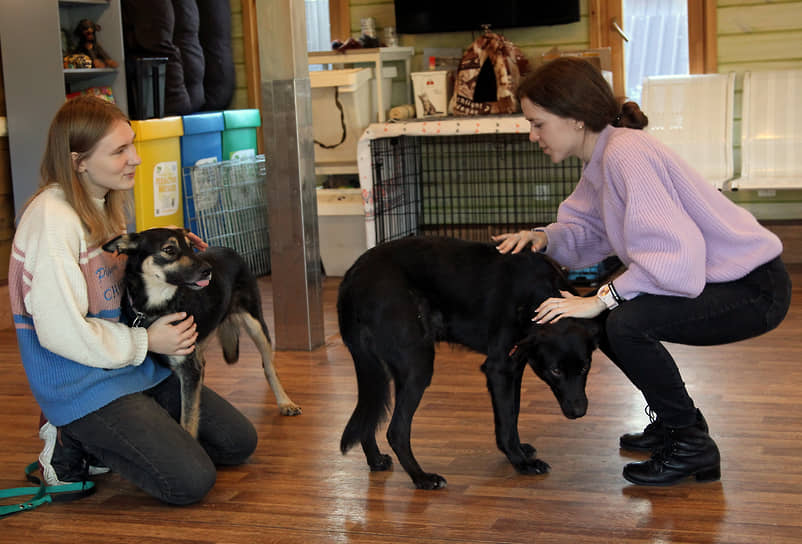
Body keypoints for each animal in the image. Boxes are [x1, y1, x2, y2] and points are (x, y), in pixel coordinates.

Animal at [101, 230, 298, 438]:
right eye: (169, 249)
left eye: (190, 246)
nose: (208, 270)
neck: (157, 306)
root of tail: (228, 248)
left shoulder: (189, 369)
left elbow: (188, 422)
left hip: (256, 324)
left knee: (269, 367)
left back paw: (285, 402)